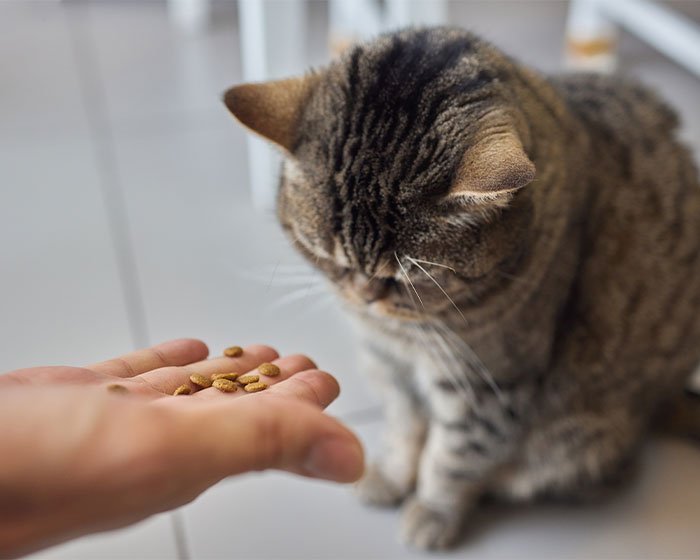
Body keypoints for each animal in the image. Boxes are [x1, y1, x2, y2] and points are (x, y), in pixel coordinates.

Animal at [223, 27, 700, 552]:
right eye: (328, 258)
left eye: (406, 277)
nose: (365, 297)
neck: (403, 333)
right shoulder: (387, 361)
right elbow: (404, 425)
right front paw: (392, 475)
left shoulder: (487, 385)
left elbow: (454, 456)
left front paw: (433, 511)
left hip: (579, 435)